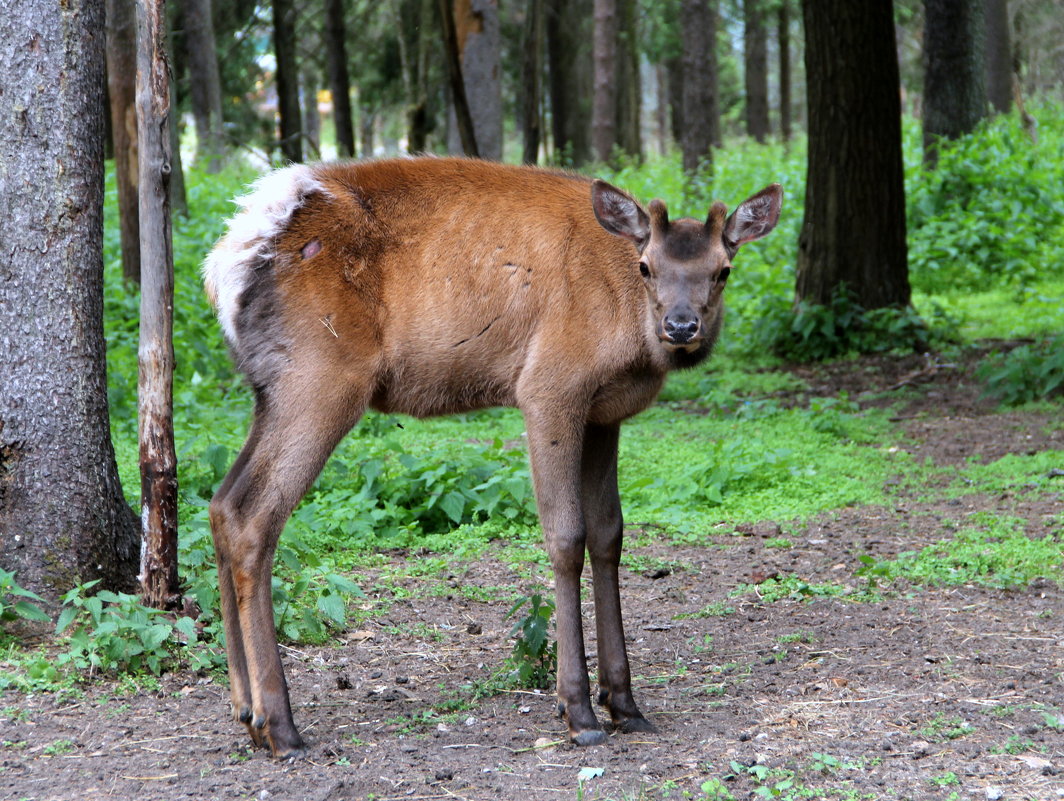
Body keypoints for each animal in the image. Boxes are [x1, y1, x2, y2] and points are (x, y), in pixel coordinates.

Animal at [203, 154, 783, 757]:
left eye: (723, 270)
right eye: (646, 266)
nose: (681, 326)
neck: (630, 337)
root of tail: (224, 267)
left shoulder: (606, 413)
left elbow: (609, 535)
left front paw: (625, 703)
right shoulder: (550, 387)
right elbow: (566, 536)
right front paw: (577, 709)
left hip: (271, 392)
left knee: (222, 504)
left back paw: (246, 712)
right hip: (319, 378)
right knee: (254, 517)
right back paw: (281, 725)